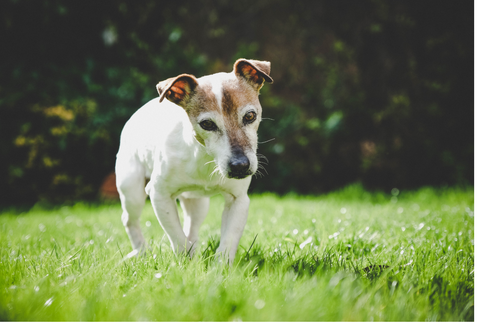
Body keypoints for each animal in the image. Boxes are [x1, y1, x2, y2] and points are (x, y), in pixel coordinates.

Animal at [116, 59, 272, 262]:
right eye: (207, 124)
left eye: (250, 116)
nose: (240, 166)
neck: (205, 157)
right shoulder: (159, 195)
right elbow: (178, 238)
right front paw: (186, 261)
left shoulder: (238, 200)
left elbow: (228, 242)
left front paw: (219, 266)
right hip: (132, 191)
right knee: (129, 220)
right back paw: (141, 251)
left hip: (198, 204)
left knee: (191, 225)